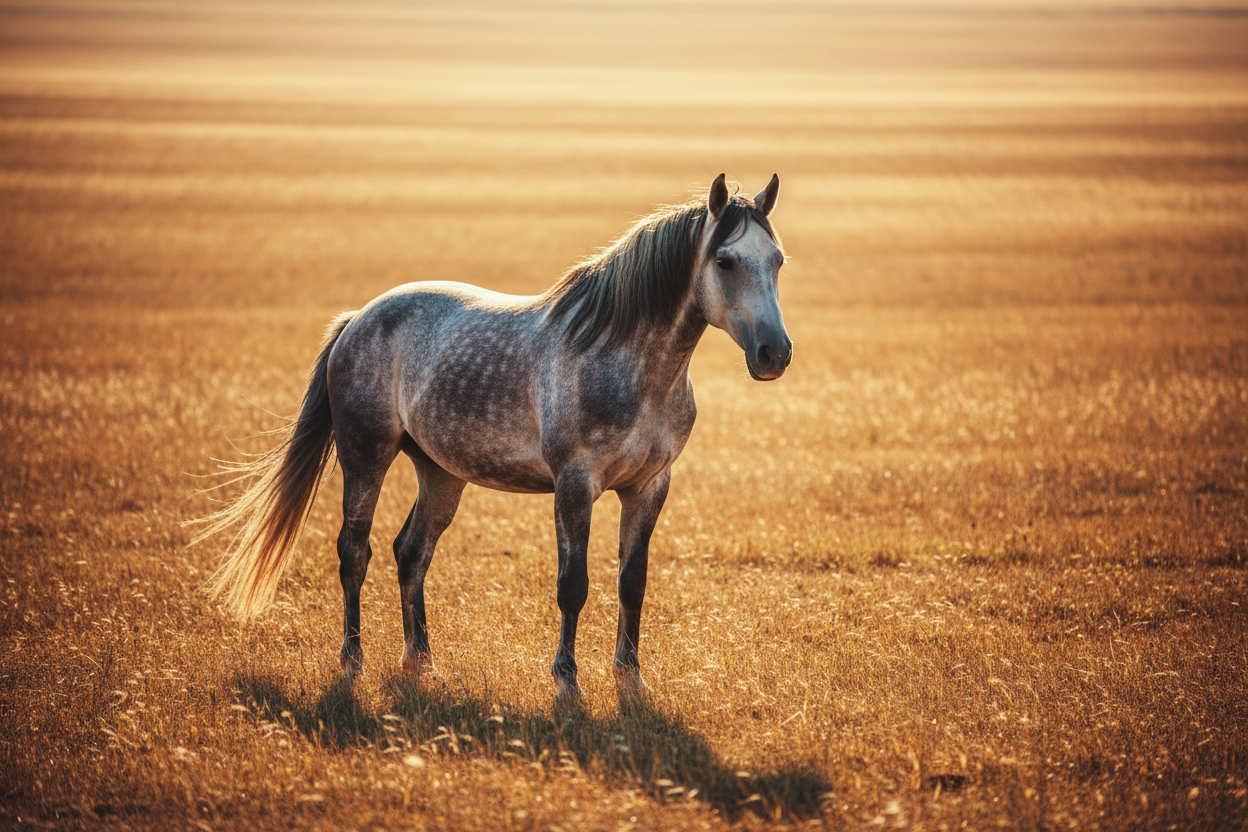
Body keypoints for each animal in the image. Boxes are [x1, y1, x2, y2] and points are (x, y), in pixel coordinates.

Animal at [196, 173, 792, 698]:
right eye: (725, 260)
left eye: (778, 260)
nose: (774, 354)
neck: (628, 363)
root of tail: (358, 319)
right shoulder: (575, 485)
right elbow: (573, 585)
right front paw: (567, 682)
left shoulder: (649, 487)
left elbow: (632, 583)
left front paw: (631, 680)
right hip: (366, 457)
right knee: (354, 553)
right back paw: (353, 662)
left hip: (439, 472)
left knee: (411, 552)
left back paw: (422, 664)